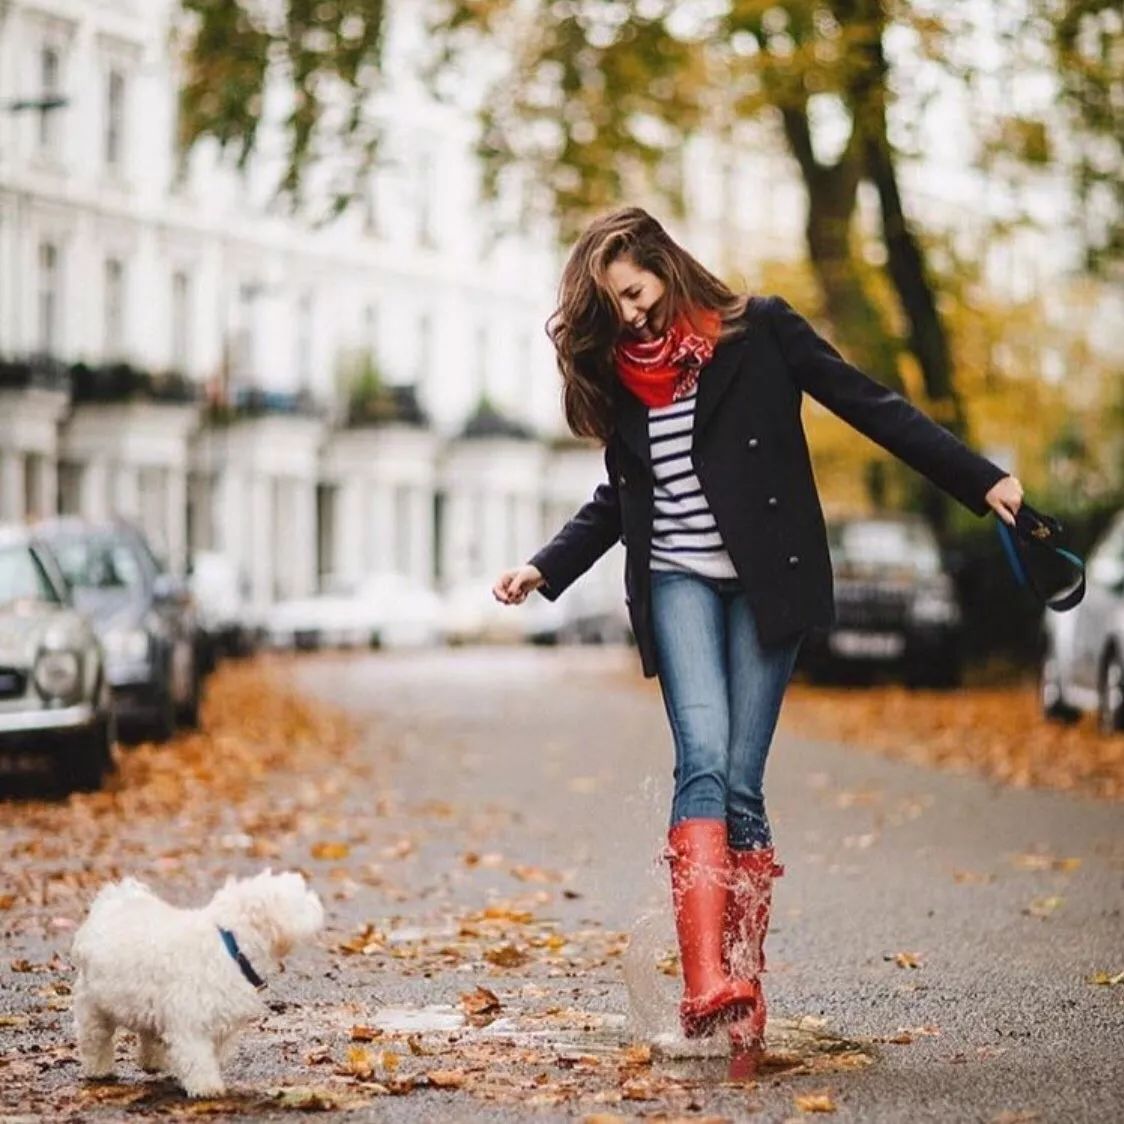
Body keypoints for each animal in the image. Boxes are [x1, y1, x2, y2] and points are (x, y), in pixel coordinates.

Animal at [72, 867, 323, 1097]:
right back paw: (99, 1068)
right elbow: (198, 1057)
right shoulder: (191, 1021)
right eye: (301, 897)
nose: (318, 903)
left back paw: (153, 1060)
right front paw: (206, 1087)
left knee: (149, 1032)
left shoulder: (222, 1019)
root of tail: (114, 899)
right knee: (95, 1038)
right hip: (93, 1004)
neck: (232, 947)